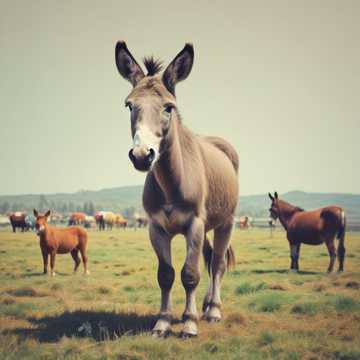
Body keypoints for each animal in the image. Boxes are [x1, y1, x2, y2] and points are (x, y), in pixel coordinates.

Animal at [115, 40, 239, 336]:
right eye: (129, 106)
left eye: (168, 107)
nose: (142, 155)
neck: (173, 183)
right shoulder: (157, 228)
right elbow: (166, 275)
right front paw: (163, 322)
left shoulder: (194, 224)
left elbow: (190, 274)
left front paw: (189, 324)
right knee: (209, 259)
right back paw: (205, 305)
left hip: (225, 222)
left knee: (217, 263)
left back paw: (213, 310)